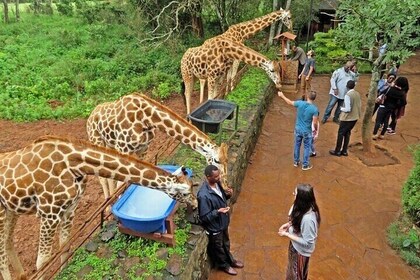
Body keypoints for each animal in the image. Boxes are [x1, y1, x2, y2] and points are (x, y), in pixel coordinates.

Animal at [0, 136, 197, 280]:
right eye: (187, 191)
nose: (196, 205)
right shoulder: (49, 212)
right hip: (3, 213)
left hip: (11, 210)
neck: (75, 164)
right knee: (2, 254)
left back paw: (22, 275)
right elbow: (43, 261)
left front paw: (63, 271)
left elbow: (65, 246)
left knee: (8, 242)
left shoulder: (70, 208)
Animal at [86, 94, 230, 199]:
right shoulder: (123, 148)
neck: (146, 118)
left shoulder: (143, 149)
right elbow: (120, 181)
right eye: (216, 161)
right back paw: (107, 204)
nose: (227, 187)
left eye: (227, 161)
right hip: (97, 140)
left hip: (109, 144)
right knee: (102, 177)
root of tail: (91, 115)